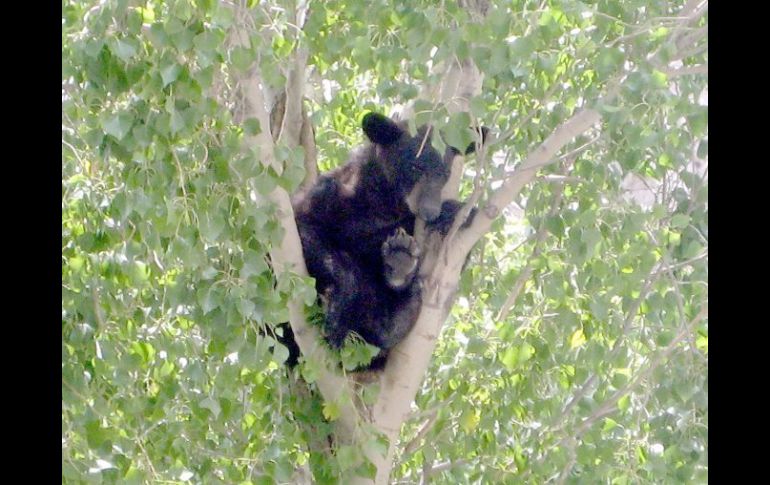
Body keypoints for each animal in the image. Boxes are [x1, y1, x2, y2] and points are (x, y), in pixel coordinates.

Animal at [276, 111, 480, 368]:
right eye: (415, 166)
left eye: (445, 174)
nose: (430, 211)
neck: (383, 202)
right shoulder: (328, 198)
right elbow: (310, 232)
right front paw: (337, 315)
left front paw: (455, 211)